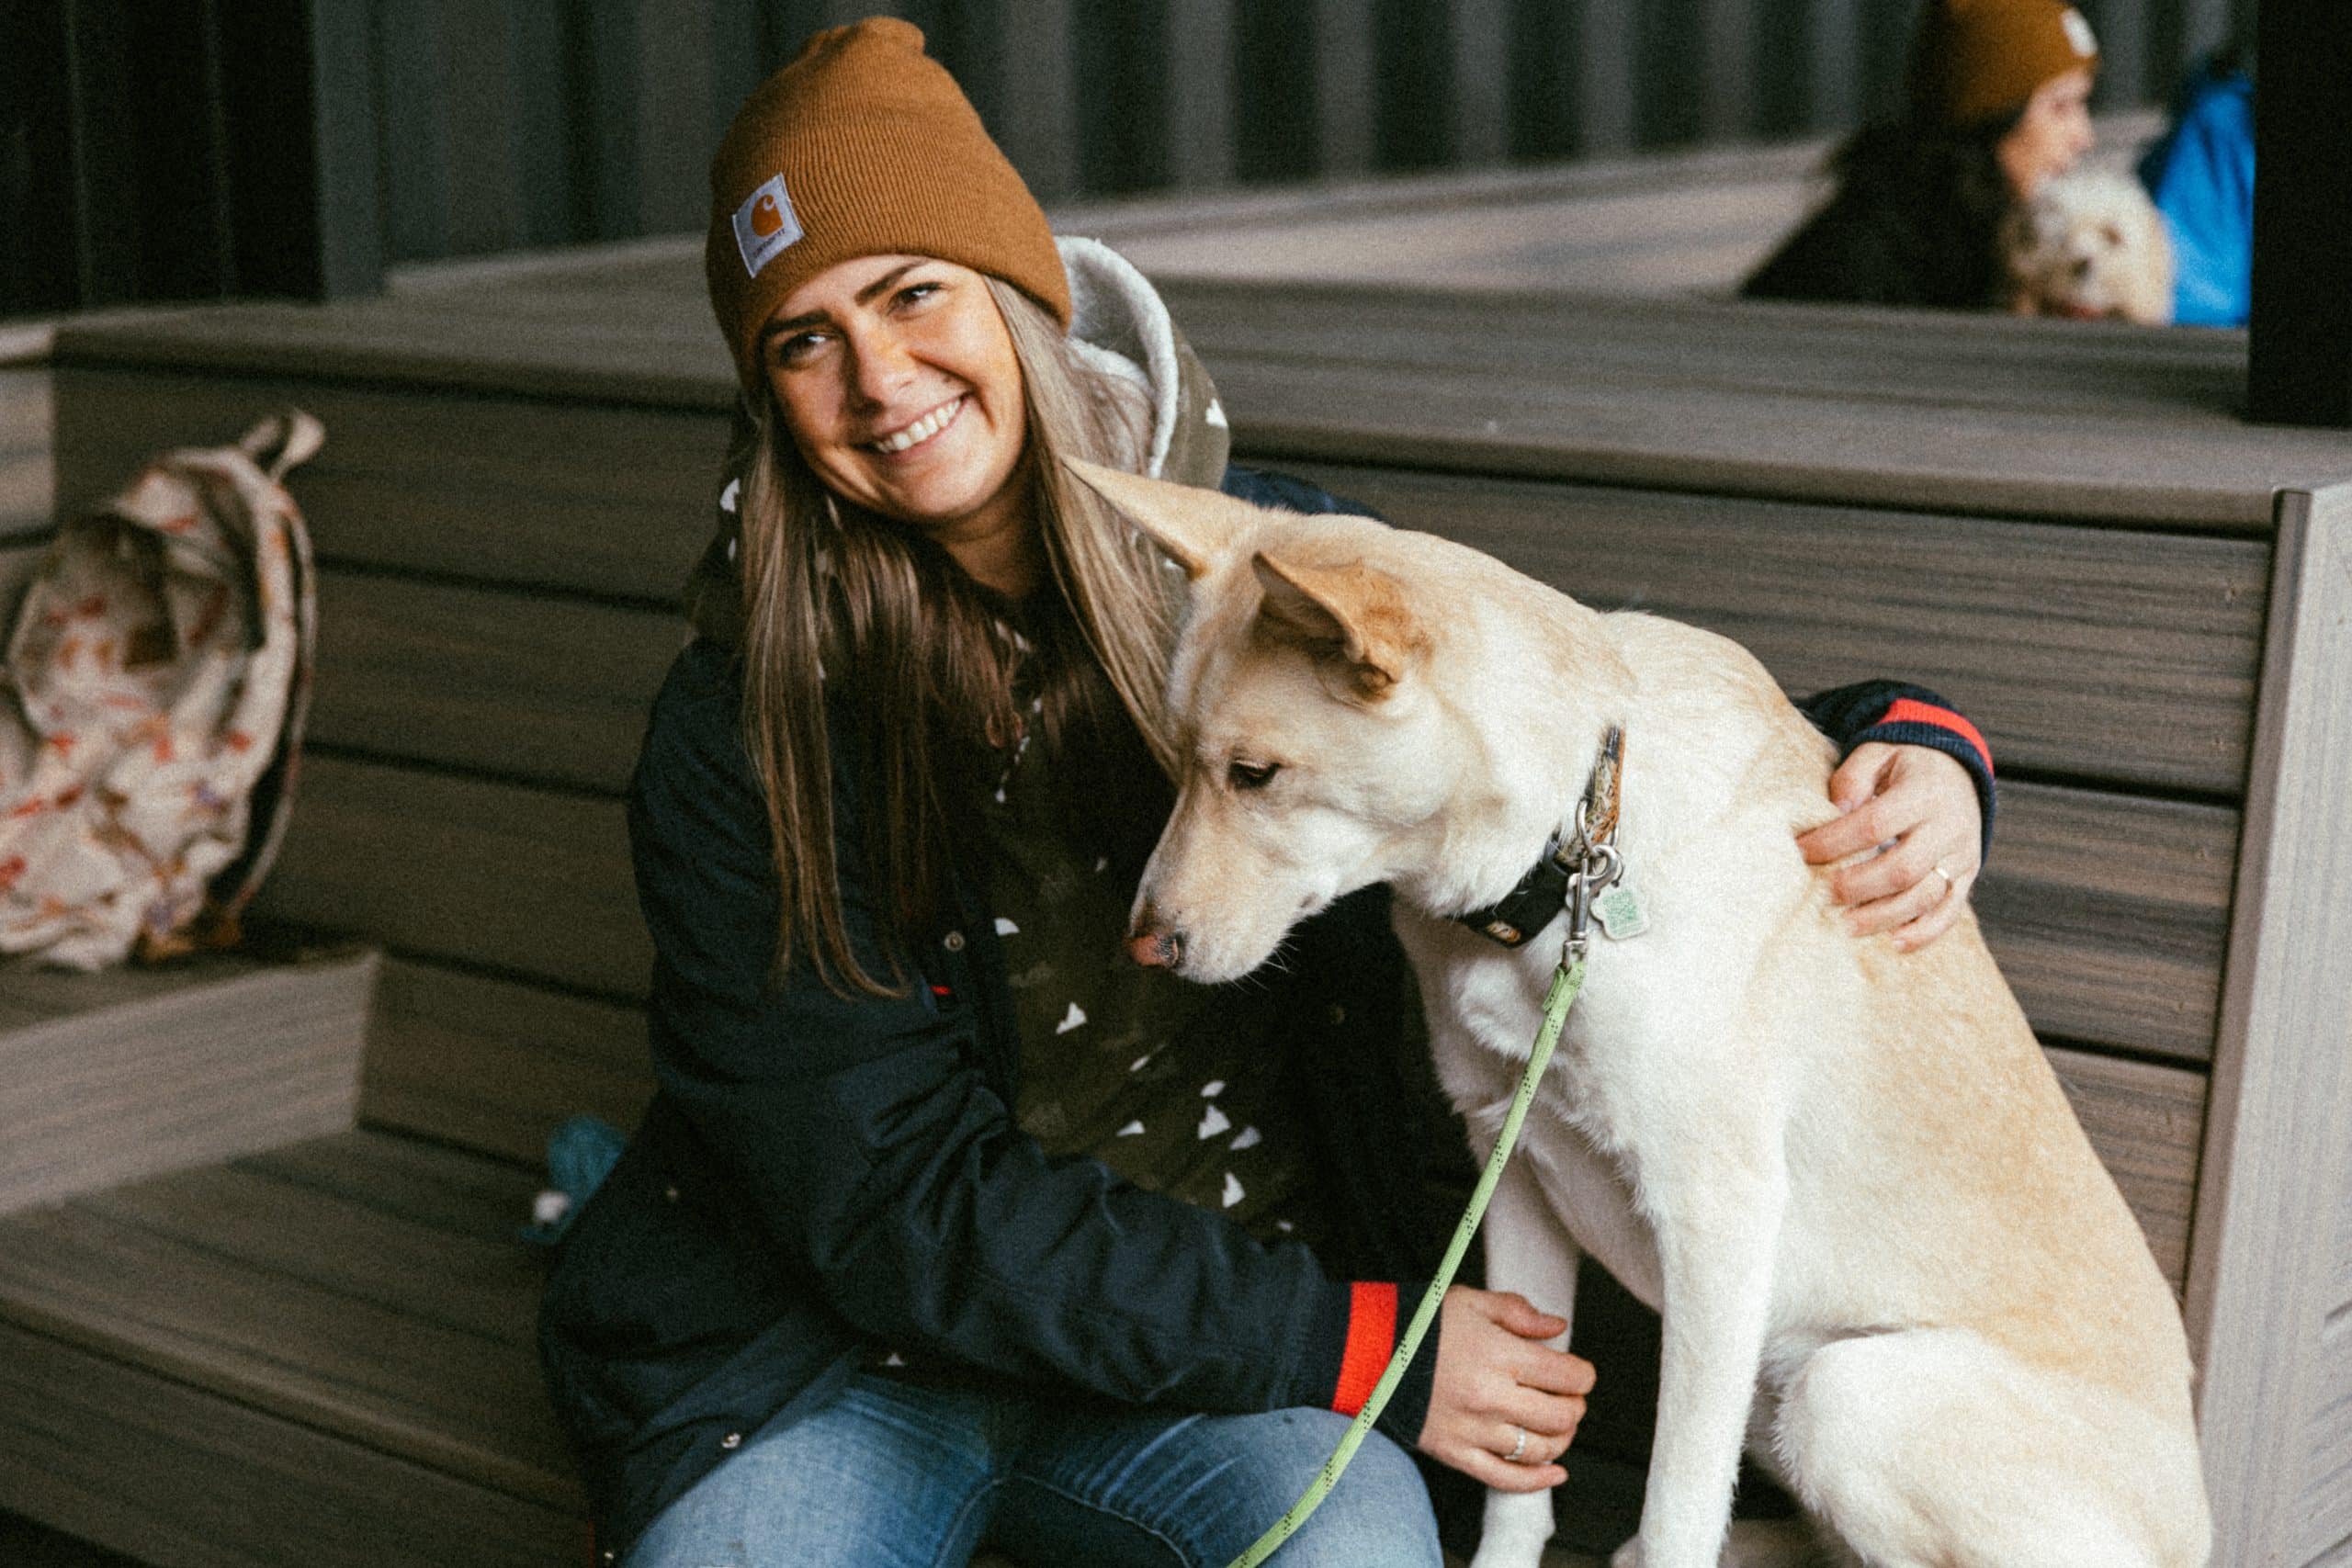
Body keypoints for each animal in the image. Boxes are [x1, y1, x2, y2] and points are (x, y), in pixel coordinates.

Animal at [1086, 463, 2220, 1568]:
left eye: (1255, 774)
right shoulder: (1514, 1174)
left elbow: (1679, 1505)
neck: (1568, 849)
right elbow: (1519, 1485)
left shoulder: (1715, 1221)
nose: (1143, 943)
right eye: (1176, 758)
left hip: (1838, 1396)